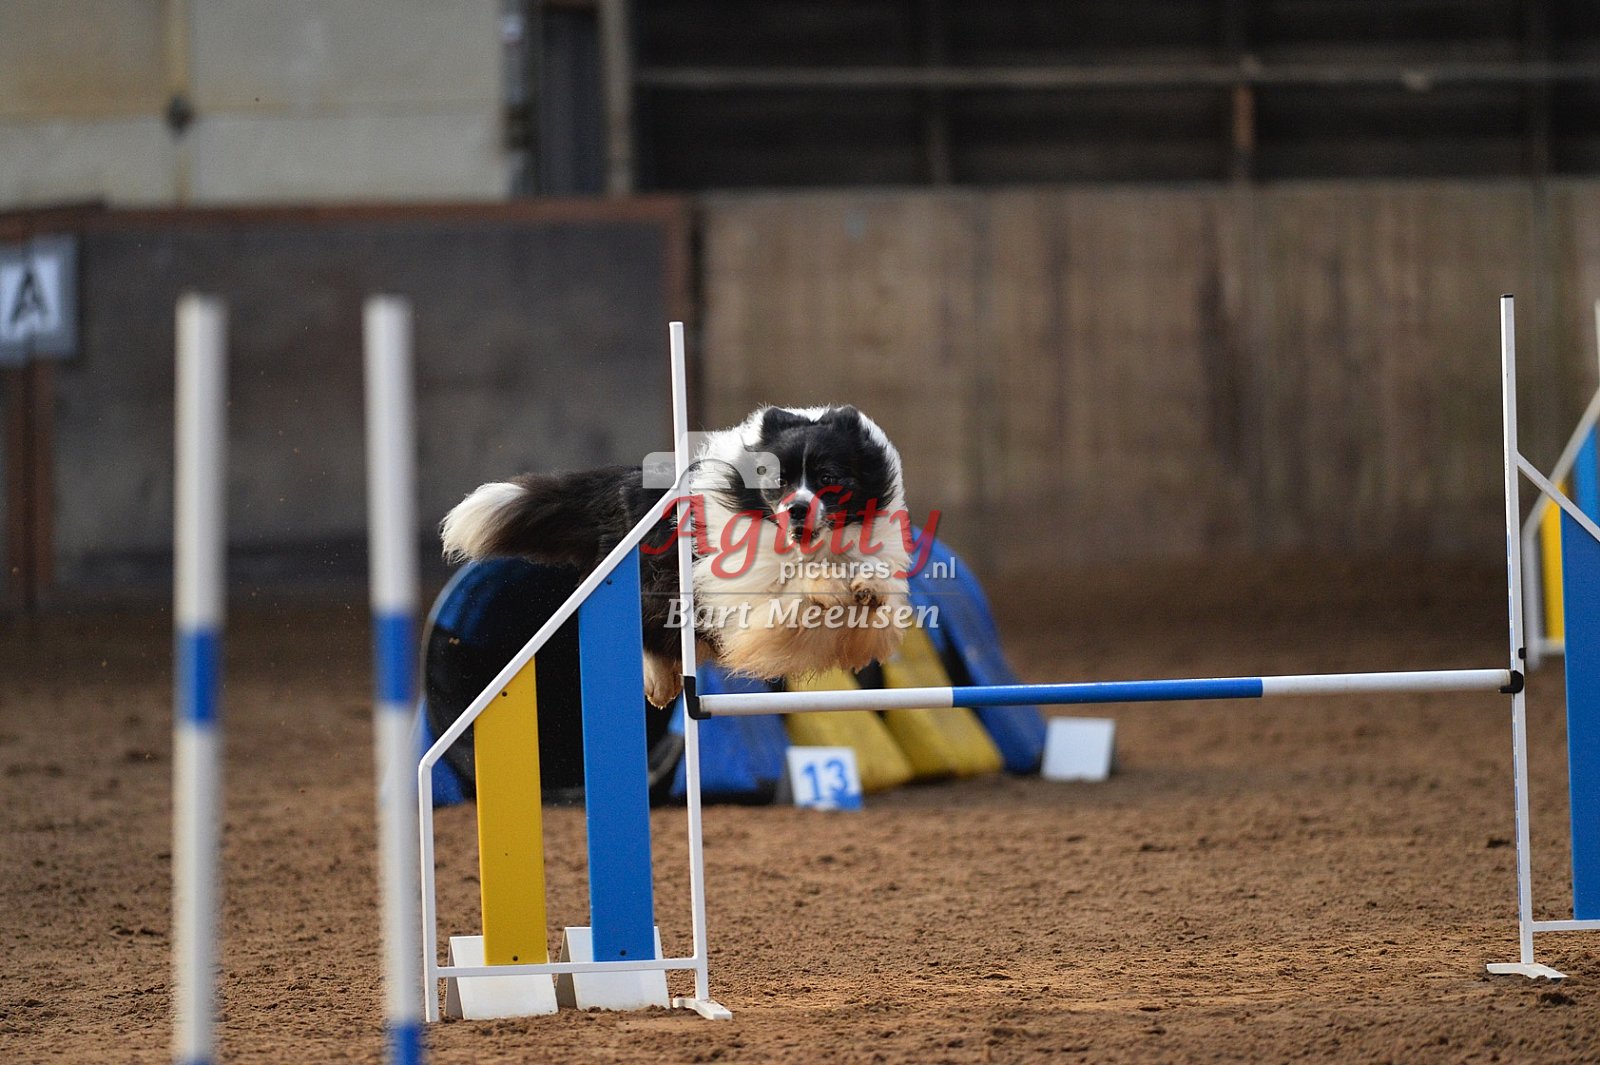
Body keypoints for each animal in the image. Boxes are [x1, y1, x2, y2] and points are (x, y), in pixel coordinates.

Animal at [440, 405, 914, 708]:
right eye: (776, 480)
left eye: (829, 477)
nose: (796, 509)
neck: (812, 544)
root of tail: (625, 480)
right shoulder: (747, 599)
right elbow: (793, 588)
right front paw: (829, 588)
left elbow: (874, 594)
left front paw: (866, 589)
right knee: (648, 626)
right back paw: (660, 685)